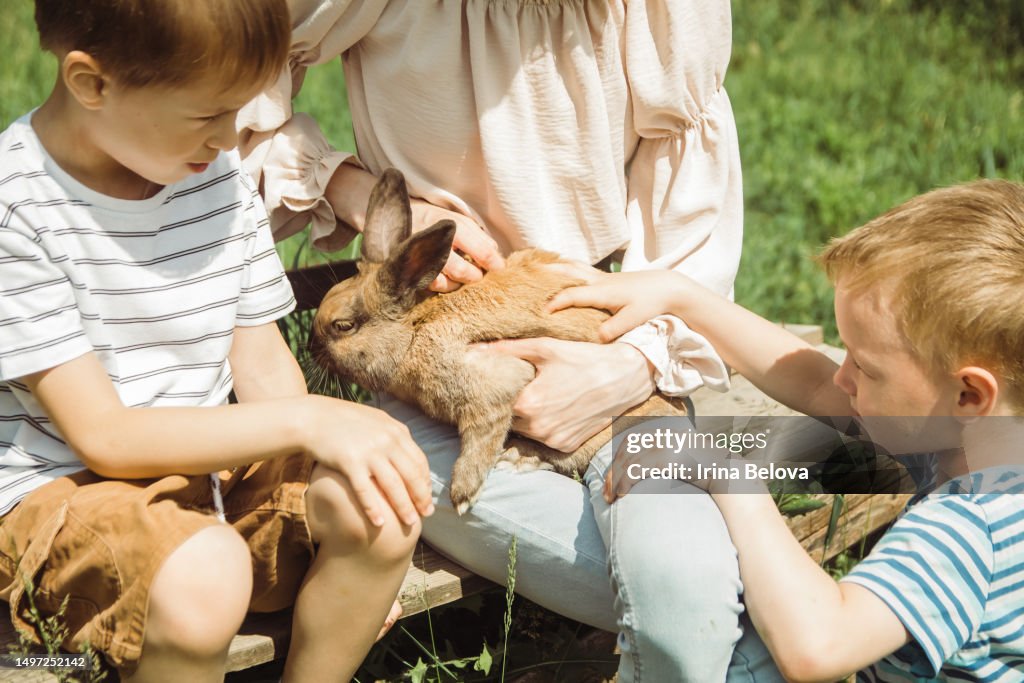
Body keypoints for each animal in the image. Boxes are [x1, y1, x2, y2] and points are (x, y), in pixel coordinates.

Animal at [311, 169, 688, 513]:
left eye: (343, 326)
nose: (312, 352)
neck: (415, 327)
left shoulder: (492, 383)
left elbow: (482, 434)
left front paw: (462, 495)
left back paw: (517, 458)